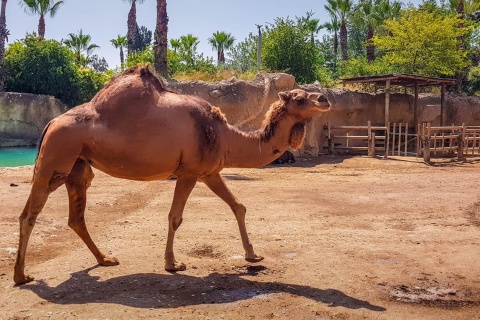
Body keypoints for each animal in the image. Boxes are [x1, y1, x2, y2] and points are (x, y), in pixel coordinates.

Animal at [14, 63, 330, 284]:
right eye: (299, 97)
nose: (325, 99)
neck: (225, 135)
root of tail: (51, 122)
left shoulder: (209, 172)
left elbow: (238, 206)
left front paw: (252, 255)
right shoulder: (189, 172)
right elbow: (175, 217)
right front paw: (172, 263)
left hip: (78, 166)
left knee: (76, 217)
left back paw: (104, 259)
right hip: (56, 156)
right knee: (29, 214)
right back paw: (21, 275)